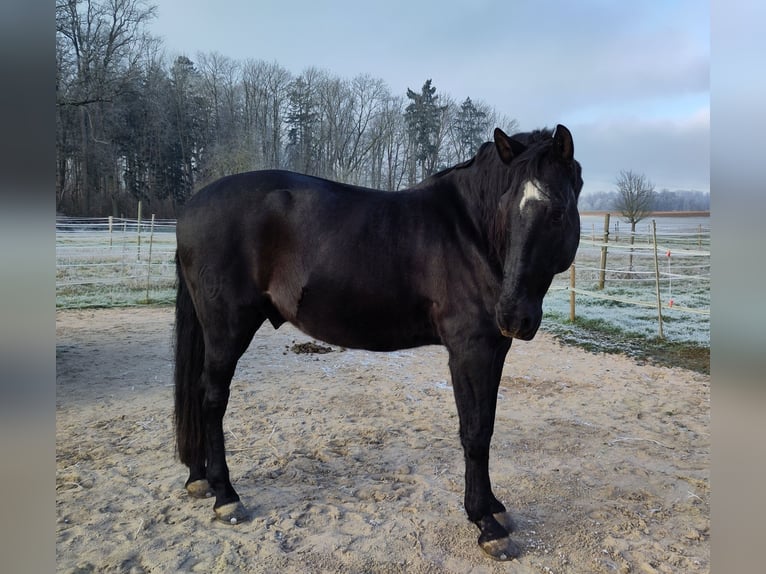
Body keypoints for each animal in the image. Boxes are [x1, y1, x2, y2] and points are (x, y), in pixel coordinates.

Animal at [174, 124, 584, 560]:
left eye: (557, 211)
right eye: (506, 209)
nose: (512, 315)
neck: (469, 232)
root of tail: (191, 207)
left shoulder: (494, 349)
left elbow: (486, 425)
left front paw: (493, 507)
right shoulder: (469, 350)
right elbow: (474, 433)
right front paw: (486, 524)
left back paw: (199, 479)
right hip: (226, 329)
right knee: (212, 399)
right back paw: (225, 496)